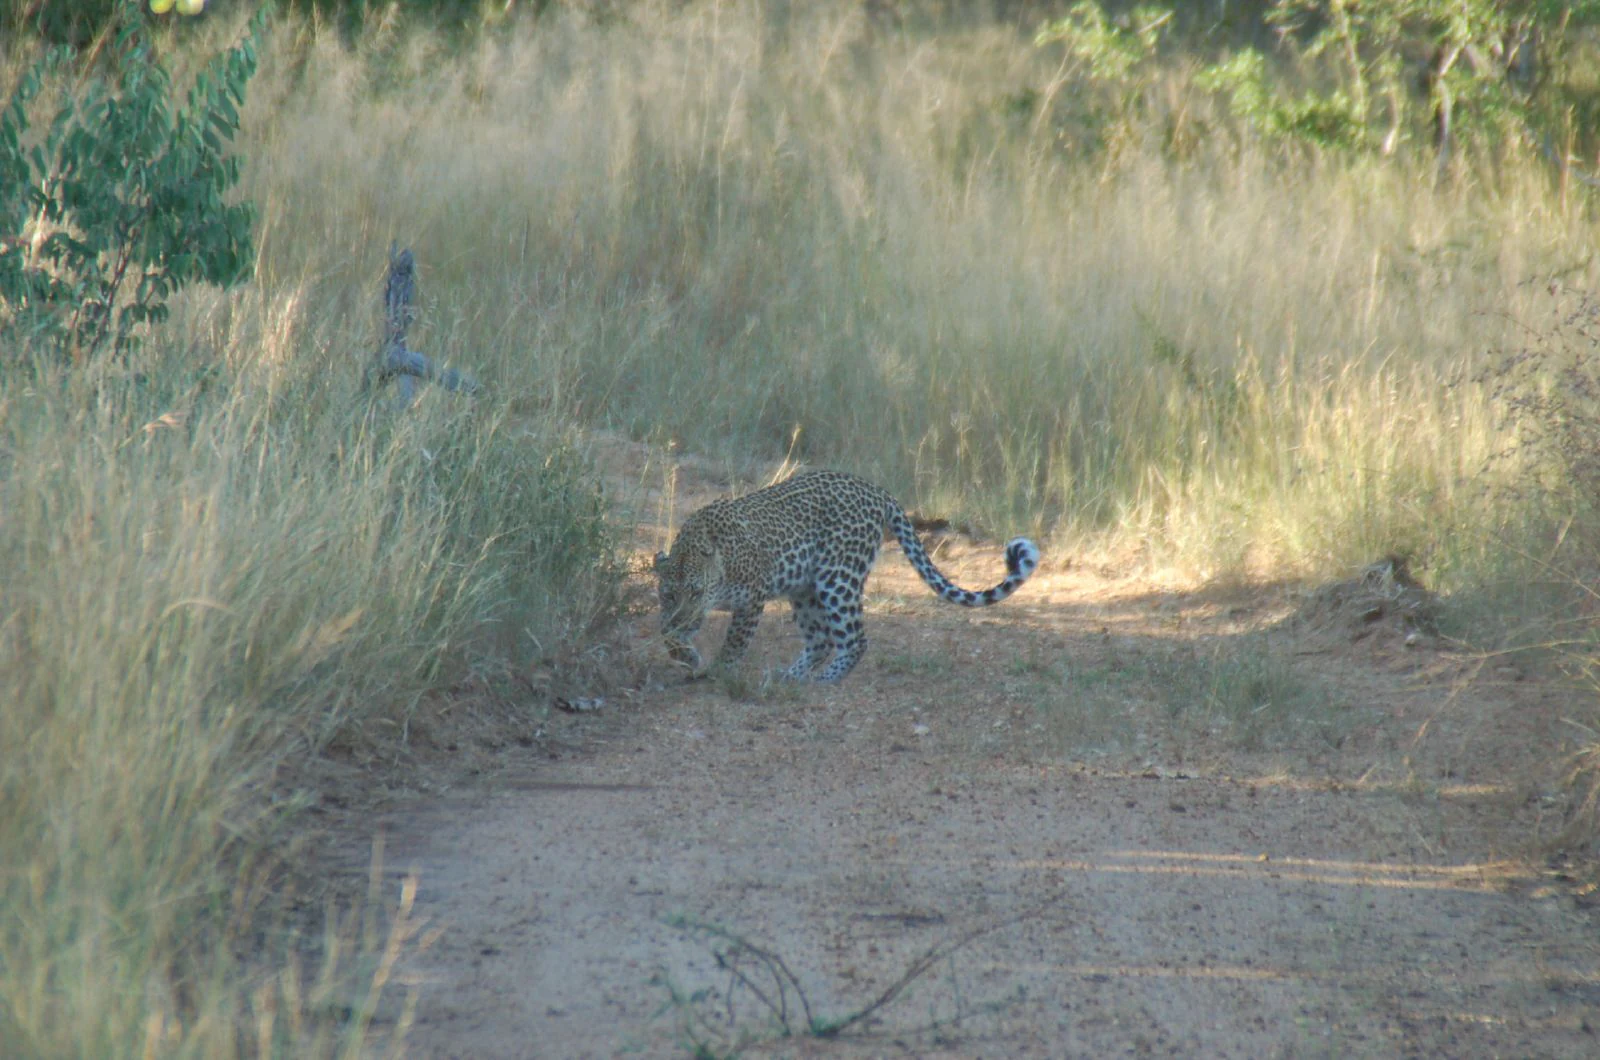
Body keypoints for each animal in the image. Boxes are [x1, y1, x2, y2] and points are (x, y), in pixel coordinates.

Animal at [652, 469, 1041, 683]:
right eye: (670, 594)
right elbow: (667, 633)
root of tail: (875, 489)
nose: (684, 616)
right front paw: (686, 655)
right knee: (821, 640)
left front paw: (717, 670)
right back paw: (791, 677)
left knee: (854, 639)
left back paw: (823, 680)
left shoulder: (752, 597)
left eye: (696, 591)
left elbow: (735, 642)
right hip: (805, 589)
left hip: (838, 578)